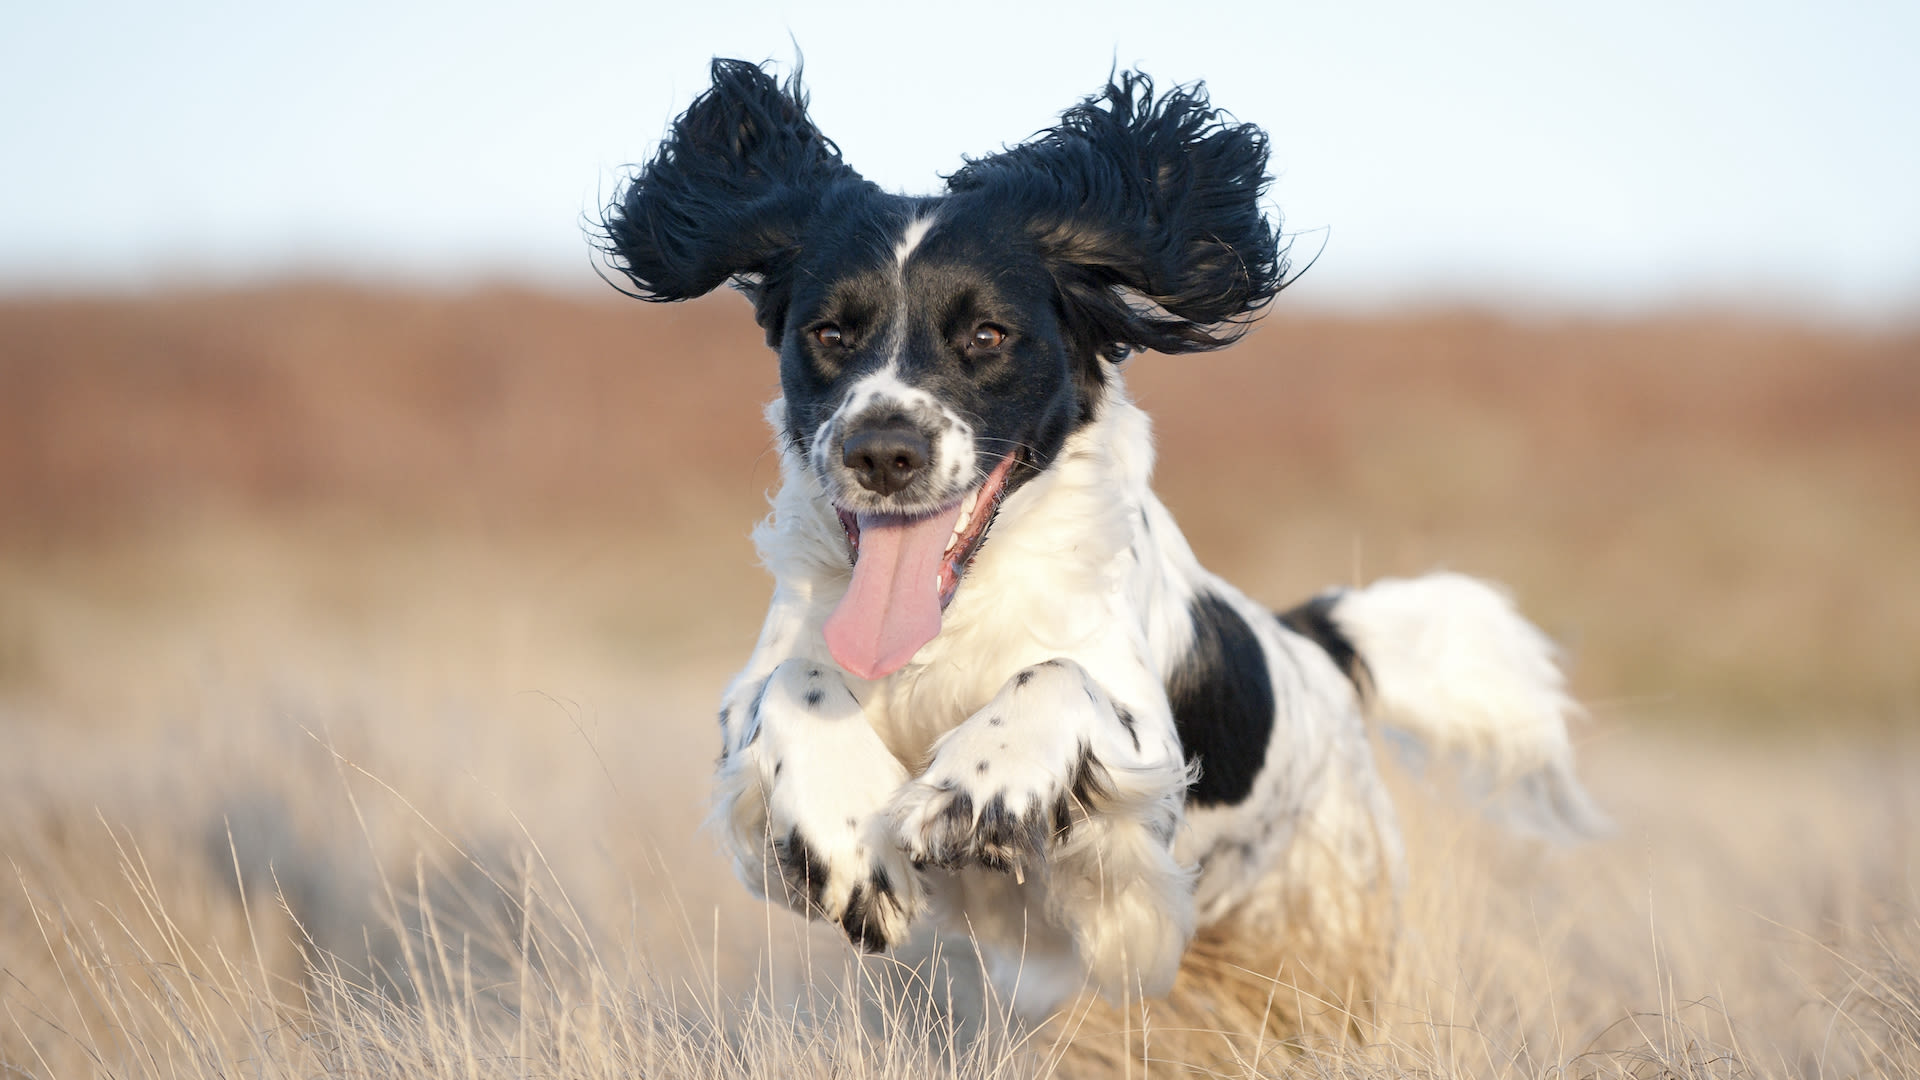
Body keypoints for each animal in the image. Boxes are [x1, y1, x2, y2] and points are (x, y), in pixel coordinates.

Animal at [591, 58, 1597, 1014]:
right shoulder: (758, 701)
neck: (950, 622)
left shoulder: (1139, 798)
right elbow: (789, 686)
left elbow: (1059, 677)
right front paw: (848, 843)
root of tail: (1315, 646)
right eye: (830, 332)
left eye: (988, 334)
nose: (883, 451)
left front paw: (974, 789)